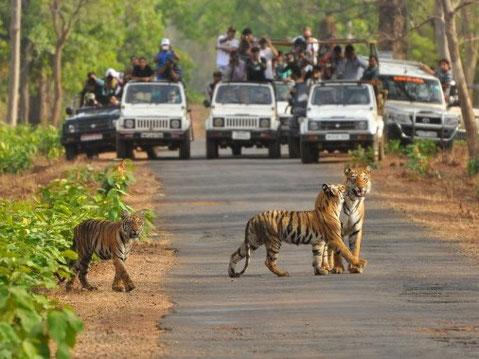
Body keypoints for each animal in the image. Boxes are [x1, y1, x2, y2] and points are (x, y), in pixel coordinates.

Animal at [229, 186, 368, 278]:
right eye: (342, 187)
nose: (350, 187)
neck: (331, 207)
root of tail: (253, 218)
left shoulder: (318, 242)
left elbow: (317, 257)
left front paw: (320, 271)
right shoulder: (335, 238)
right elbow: (346, 252)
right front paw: (360, 263)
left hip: (253, 241)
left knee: (235, 254)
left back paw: (231, 273)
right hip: (274, 241)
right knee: (269, 261)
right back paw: (283, 273)